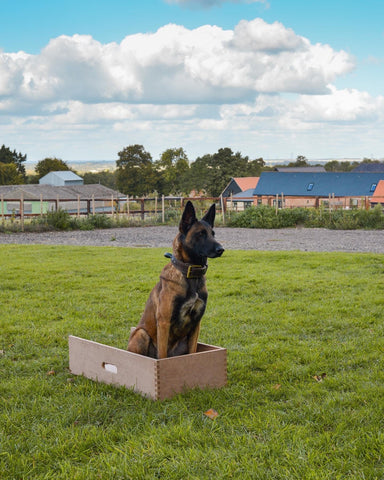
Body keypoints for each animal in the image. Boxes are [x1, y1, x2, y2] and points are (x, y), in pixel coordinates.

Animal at [127, 201, 224, 358]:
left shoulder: (196, 325)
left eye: (213, 234)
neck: (191, 275)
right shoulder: (164, 323)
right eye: (201, 234)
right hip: (141, 333)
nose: (221, 249)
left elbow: (193, 351)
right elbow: (162, 356)